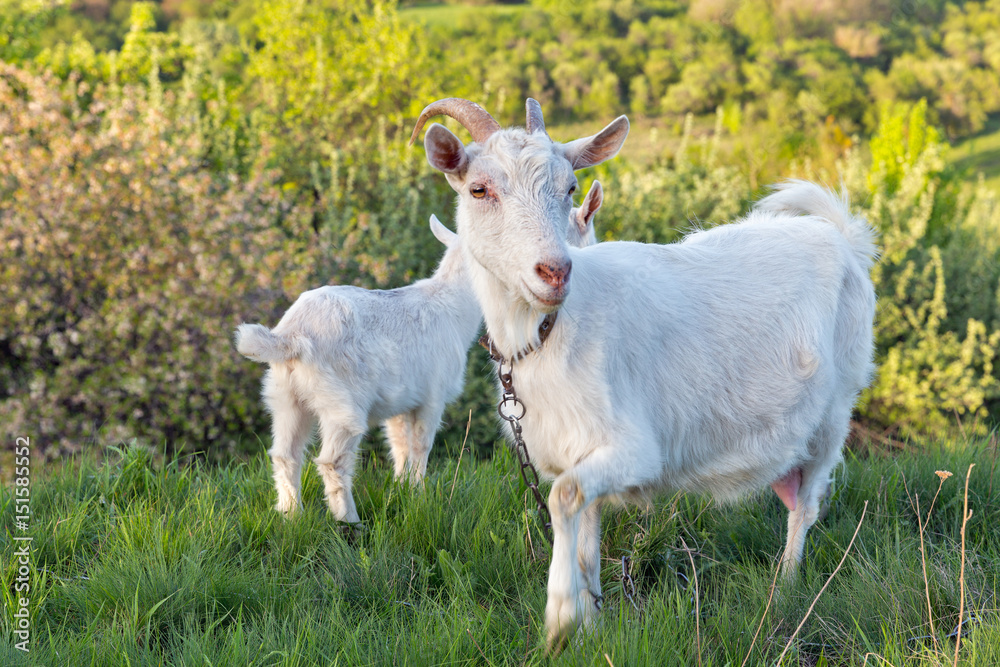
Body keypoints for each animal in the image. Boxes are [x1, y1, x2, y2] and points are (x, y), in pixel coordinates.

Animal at [235, 217, 482, 522]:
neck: (453, 306)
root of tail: (292, 335)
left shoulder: (400, 401)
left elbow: (399, 445)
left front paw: (401, 490)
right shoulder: (432, 396)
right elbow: (420, 445)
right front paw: (420, 497)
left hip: (284, 396)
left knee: (285, 454)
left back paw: (292, 515)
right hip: (341, 400)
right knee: (333, 461)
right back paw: (349, 520)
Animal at [410, 97, 878, 650]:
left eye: (570, 188)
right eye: (479, 190)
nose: (555, 272)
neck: (550, 332)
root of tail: (841, 236)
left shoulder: (637, 450)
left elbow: (561, 498)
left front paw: (559, 618)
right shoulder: (574, 452)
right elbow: (585, 535)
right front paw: (590, 625)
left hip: (837, 406)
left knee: (807, 503)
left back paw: (784, 587)